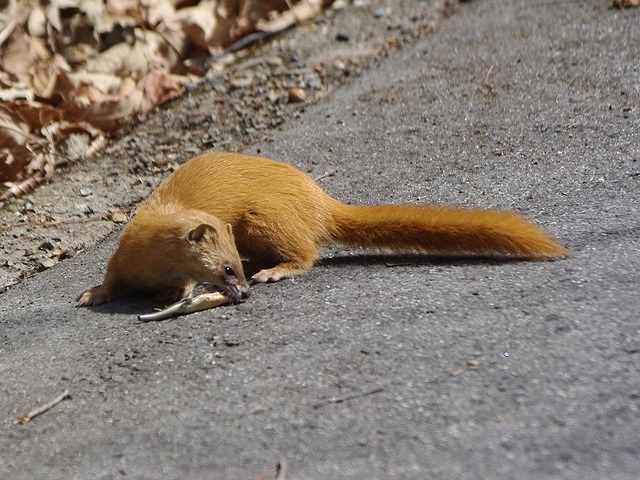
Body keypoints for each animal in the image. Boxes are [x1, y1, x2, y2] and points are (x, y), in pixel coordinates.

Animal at [76, 151, 568, 308]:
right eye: (227, 269)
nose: (245, 290)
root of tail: (317, 197)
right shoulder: (122, 254)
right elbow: (111, 278)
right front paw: (92, 295)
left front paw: (173, 293)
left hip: (264, 216)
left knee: (307, 253)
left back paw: (276, 270)